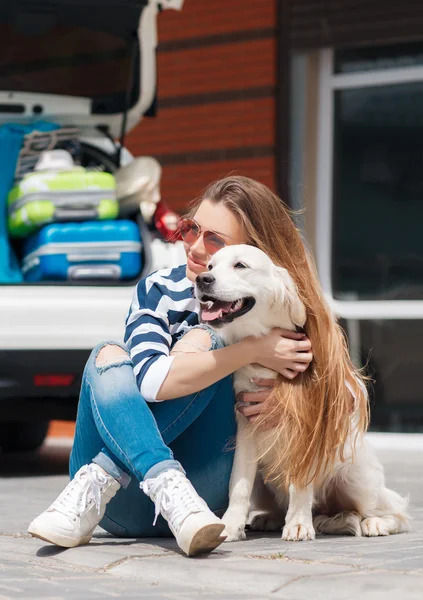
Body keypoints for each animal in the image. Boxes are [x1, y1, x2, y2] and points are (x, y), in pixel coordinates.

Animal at [195, 245, 410, 544]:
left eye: (240, 265)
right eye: (210, 266)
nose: (202, 279)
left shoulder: (308, 429)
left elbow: (300, 483)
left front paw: (298, 524)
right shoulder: (246, 424)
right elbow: (238, 483)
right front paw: (230, 525)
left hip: (354, 476)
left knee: (395, 511)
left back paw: (375, 523)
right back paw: (271, 518)